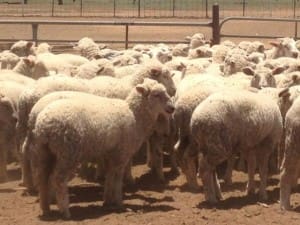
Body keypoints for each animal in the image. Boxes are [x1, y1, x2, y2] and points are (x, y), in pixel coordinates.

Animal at [29, 79, 175, 218]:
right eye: (156, 94)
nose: (172, 108)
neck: (134, 116)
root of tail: (45, 124)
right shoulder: (121, 154)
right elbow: (117, 178)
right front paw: (119, 202)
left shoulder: (110, 154)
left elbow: (110, 176)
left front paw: (107, 200)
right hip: (68, 152)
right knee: (58, 179)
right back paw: (65, 211)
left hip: (45, 152)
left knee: (42, 178)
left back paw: (46, 209)